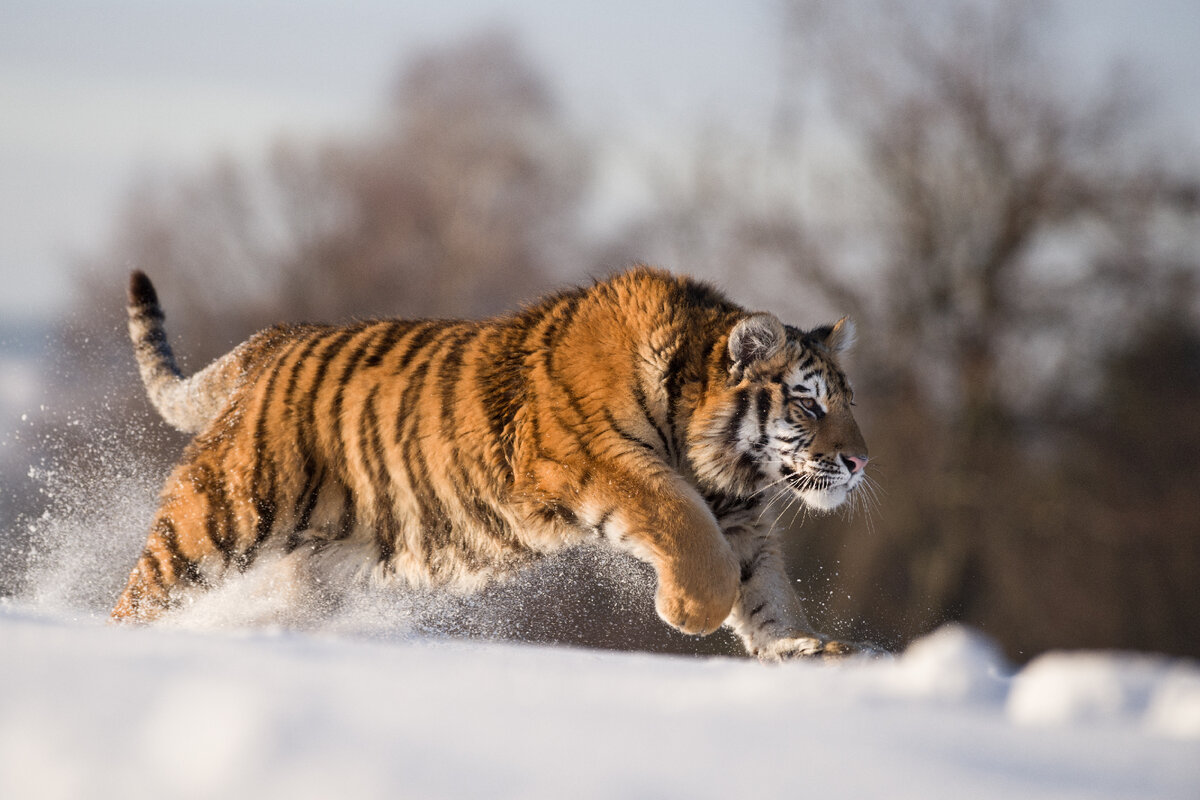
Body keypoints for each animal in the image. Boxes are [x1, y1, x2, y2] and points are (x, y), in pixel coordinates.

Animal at [114, 266, 873, 662]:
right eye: (808, 402)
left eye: (849, 400)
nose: (860, 460)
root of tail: (274, 340)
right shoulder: (600, 464)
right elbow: (691, 536)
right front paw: (687, 612)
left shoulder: (741, 520)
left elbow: (765, 589)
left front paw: (806, 648)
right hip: (223, 513)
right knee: (143, 592)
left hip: (318, 562)